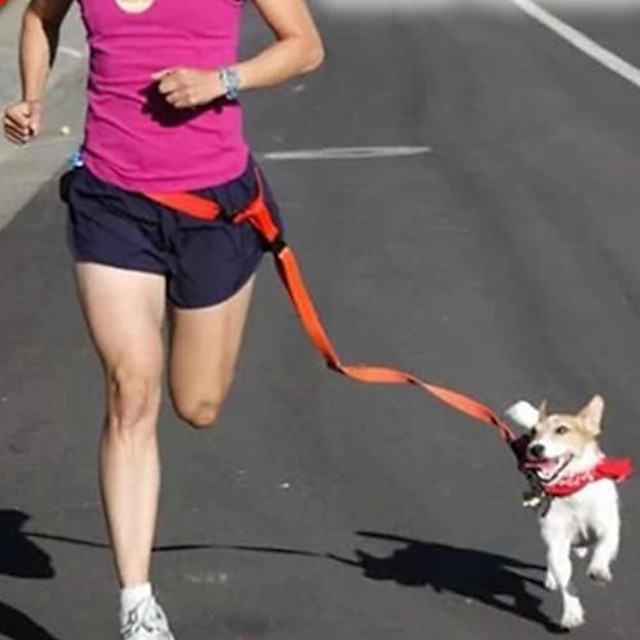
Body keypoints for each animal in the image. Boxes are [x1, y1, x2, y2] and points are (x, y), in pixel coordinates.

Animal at [508, 396, 632, 632]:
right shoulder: (557, 543)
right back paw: (551, 578)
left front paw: (598, 569)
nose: (535, 448)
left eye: (562, 430)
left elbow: (603, 547)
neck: (572, 491)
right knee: (552, 560)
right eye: (534, 432)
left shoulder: (608, 529)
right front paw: (572, 613)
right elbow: (568, 582)